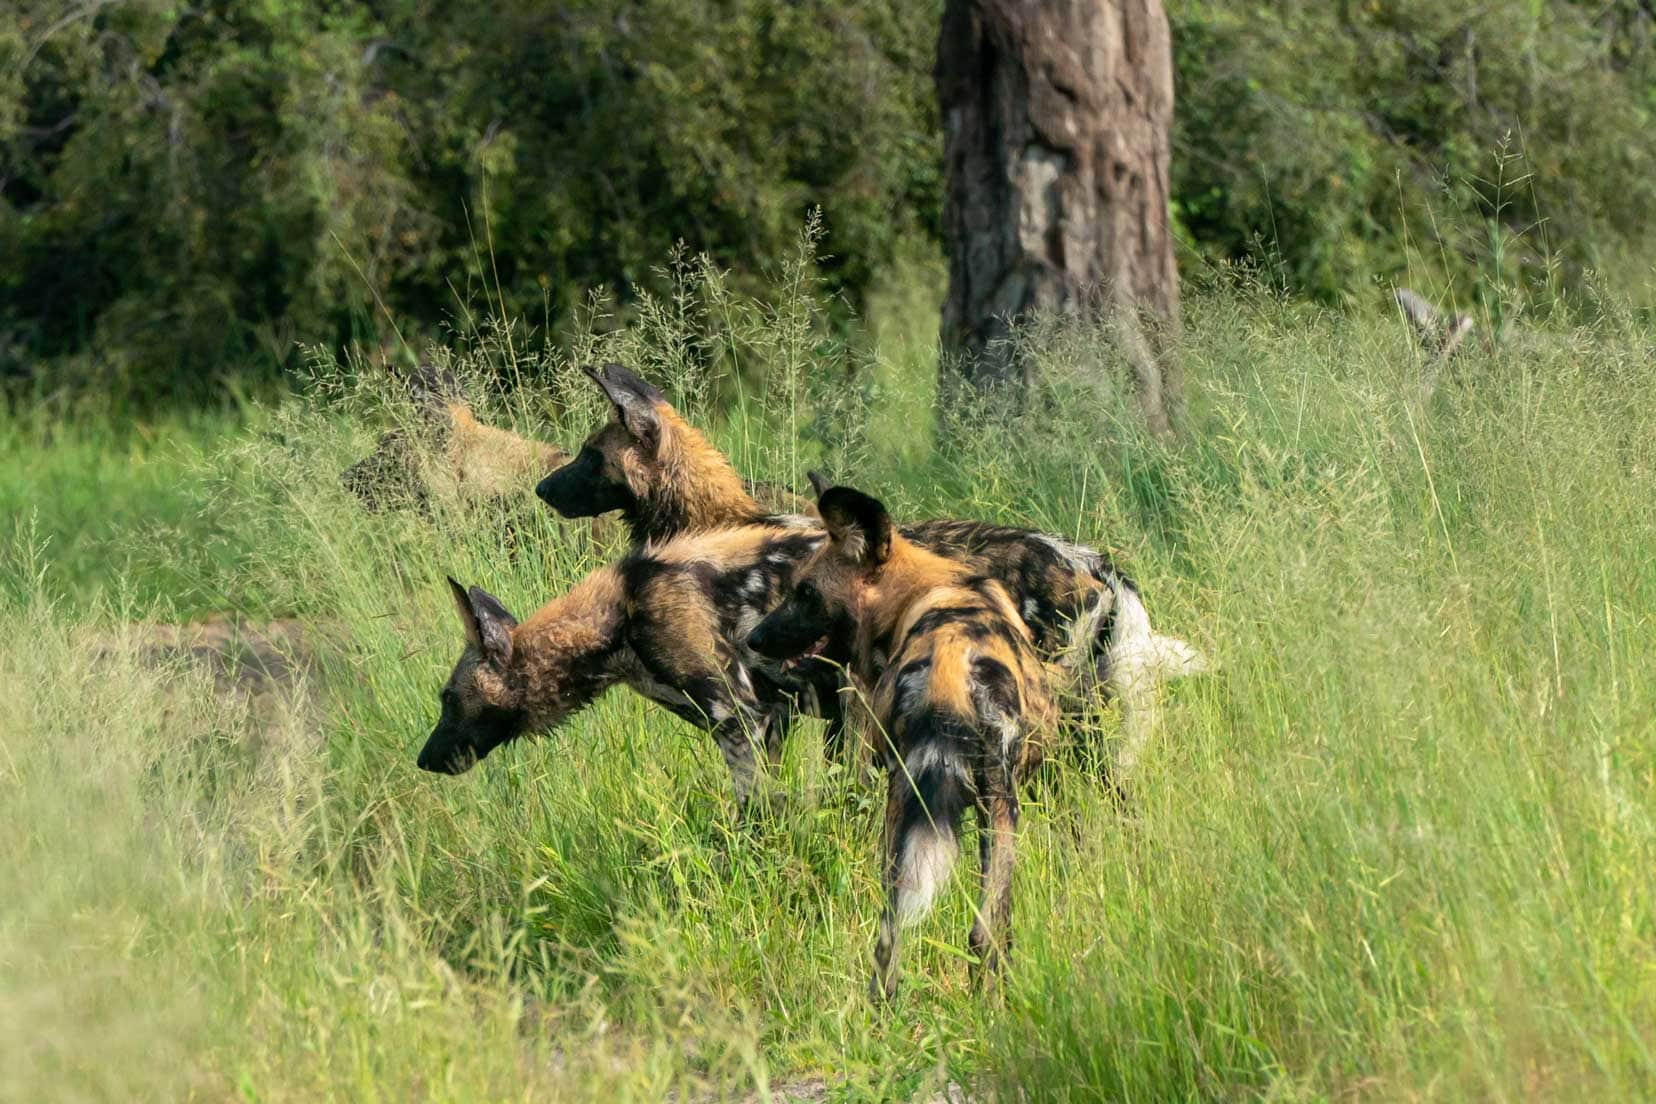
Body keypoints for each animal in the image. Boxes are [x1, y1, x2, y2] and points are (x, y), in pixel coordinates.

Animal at [751, 480, 1059, 999]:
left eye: (805, 593)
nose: (753, 638)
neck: (927, 587)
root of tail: (951, 661)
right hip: (952, 804)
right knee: (957, 930)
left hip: (944, 804)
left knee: (919, 933)